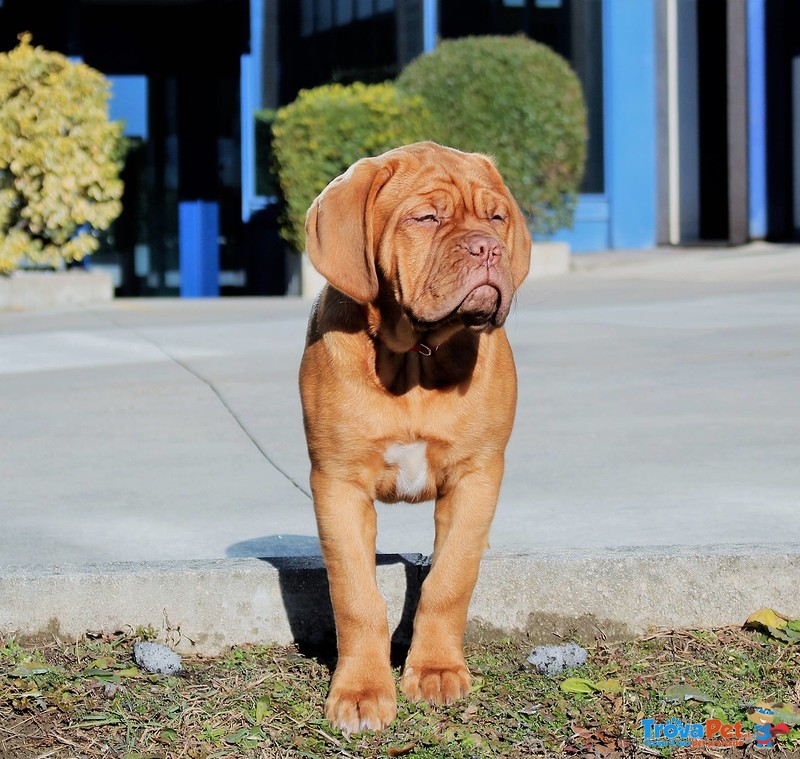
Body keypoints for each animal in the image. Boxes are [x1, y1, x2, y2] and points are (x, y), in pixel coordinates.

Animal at [296, 140, 528, 732]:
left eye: (497, 218)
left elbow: (450, 581)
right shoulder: (338, 484)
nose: (489, 249)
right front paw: (361, 692)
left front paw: (437, 671)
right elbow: (356, 596)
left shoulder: (476, 476)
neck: (414, 359)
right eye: (425, 218)